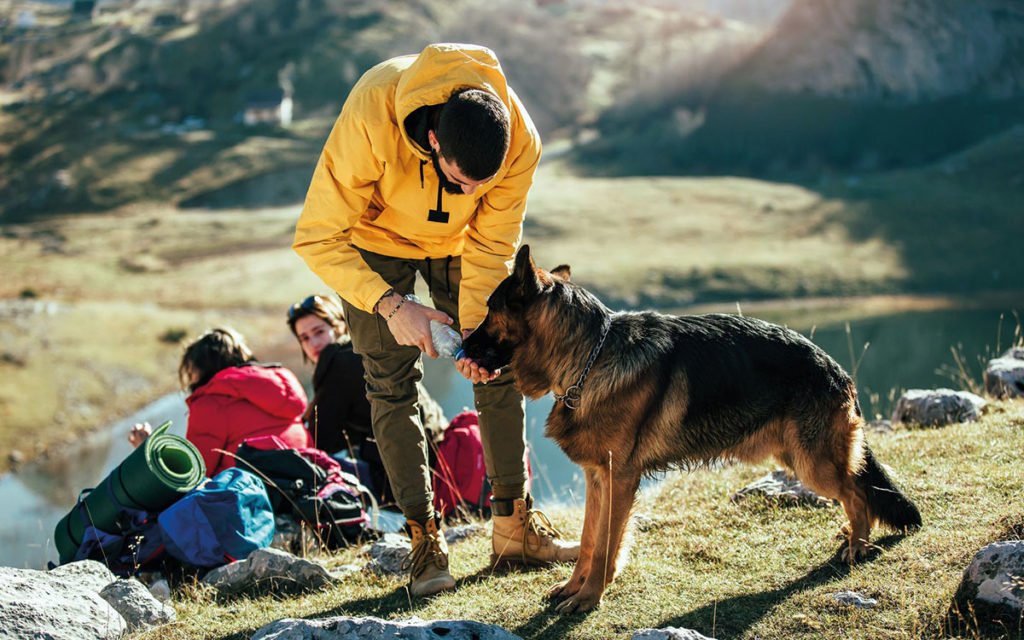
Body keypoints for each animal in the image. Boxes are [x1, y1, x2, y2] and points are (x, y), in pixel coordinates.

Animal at [460, 245, 925, 614]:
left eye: (490, 310)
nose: (460, 346)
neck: (589, 356)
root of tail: (836, 369)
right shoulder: (597, 478)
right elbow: (590, 541)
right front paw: (575, 588)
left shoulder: (620, 479)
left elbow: (608, 545)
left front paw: (590, 598)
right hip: (798, 457)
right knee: (857, 490)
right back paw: (851, 536)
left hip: (813, 464)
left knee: (858, 492)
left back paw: (858, 545)